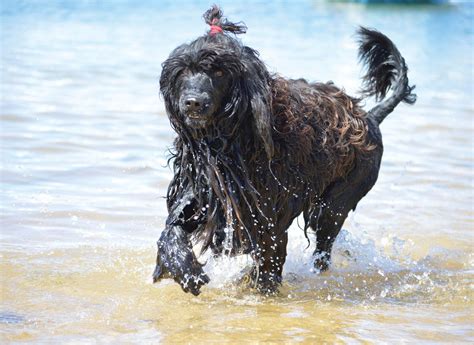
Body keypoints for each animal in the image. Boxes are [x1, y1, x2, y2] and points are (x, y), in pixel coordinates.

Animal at [152, 5, 414, 294]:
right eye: (182, 72)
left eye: (219, 72)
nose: (193, 103)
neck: (229, 140)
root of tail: (370, 118)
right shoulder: (203, 193)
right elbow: (172, 228)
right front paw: (183, 267)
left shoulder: (268, 217)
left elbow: (269, 263)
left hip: (337, 202)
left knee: (323, 248)